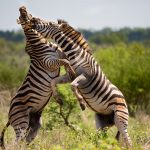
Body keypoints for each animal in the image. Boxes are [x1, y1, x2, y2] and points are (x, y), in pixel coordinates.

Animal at [0, 6, 75, 149]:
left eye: (27, 13)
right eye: (23, 17)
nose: (21, 7)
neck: (38, 42)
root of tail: (9, 114)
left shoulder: (59, 53)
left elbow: (67, 58)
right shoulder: (49, 63)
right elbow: (65, 62)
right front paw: (72, 72)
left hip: (34, 126)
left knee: (24, 143)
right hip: (21, 123)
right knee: (15, 144)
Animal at [29, 15, 131, 146]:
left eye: (50, 23)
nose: (33, 19)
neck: (74, 54)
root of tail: (123, 99)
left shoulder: (85, 76)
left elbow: (73, 85)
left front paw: (82, 103)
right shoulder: (70, 75)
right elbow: (54, 82)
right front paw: (58, 99)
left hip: (120, 118)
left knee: (128, 139)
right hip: (102, 122)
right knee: (103, 137)